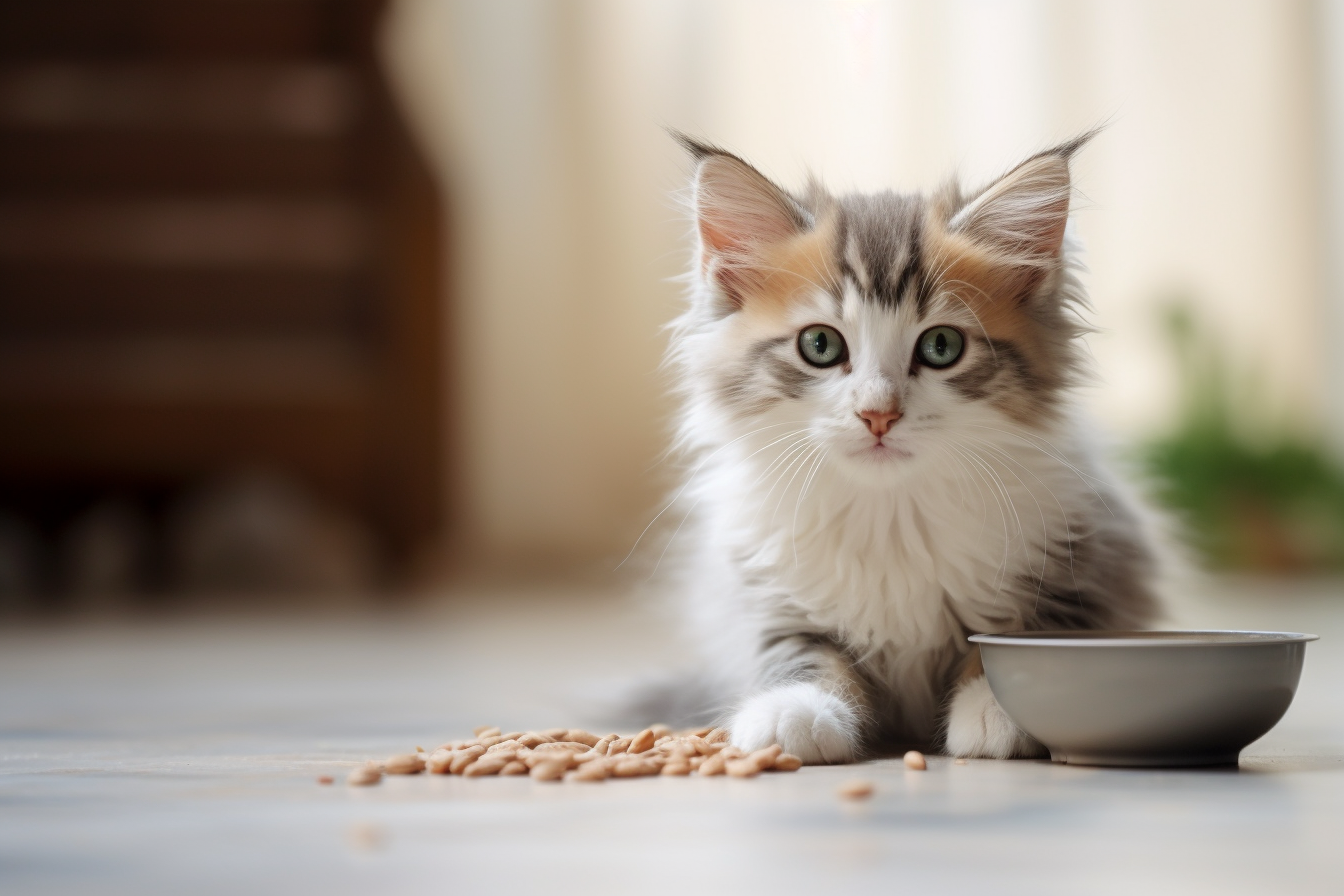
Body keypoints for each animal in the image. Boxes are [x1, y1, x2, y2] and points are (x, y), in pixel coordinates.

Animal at [661, 132, 1166, 763]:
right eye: (820, 345)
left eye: (941, 346)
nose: (878, 413)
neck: (892, 514)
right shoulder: (770, 594)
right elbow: (801, 653)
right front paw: (794, 710)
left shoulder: (1083, 558)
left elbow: (1021, 637)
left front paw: (997, 711)